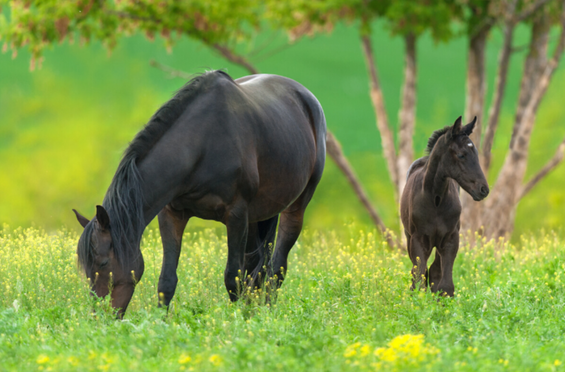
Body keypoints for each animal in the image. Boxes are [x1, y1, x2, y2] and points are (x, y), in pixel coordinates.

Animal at [72, 70, 326, 316]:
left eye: (103, 263)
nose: (100, 314)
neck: (202, 144)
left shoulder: (236, 215)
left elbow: (232, 278)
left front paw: (237, 322)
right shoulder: (172, 214)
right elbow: (167, 281)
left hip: (294, 207)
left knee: (276, 268)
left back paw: (267, 314)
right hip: (257, 218)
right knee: (256, 266)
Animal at [398, 116, 486, 296]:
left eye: (476, 153)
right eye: (461, 155)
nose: (483, 189)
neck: (435, 199)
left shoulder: (450, 238)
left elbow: (445, 284)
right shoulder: (418, 239)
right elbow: (419, 277)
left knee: (434, 270)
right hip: (409, 237)